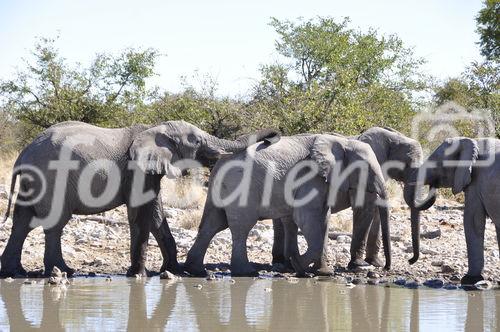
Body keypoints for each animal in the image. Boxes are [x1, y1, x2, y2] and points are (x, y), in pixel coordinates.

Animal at [0, 120, 282, 278]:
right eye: (195, 141)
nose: (273, 137)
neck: (154, 129)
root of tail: (23, 154)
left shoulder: (149, 171)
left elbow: (155, 214)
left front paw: (172, 271)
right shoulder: (136, 170)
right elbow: (139, 214)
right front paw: (138, 275)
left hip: (33, 181)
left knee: (22, 222)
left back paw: (15, 272)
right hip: (52, 178)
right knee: (54, 223)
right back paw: (61, 271)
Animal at [184, 134, 390, 276]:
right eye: (367, 171)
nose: (386, 267)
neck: (343, 142)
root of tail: (219, 164)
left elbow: (320, 219)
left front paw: (320, 272)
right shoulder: (311, 177)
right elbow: (307, 218)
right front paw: (298, 265)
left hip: (219, 190)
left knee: (212, 224)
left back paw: (195, 270)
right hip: (241, 186)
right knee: (241, 227)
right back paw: (247, 272)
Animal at [272, 126, 432, 272]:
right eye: (407, 164)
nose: (410, 260)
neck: (392, 137)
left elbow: (375, 211)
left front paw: (375, 263)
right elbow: (365, 208)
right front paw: (359, 265)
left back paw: (283, 263)